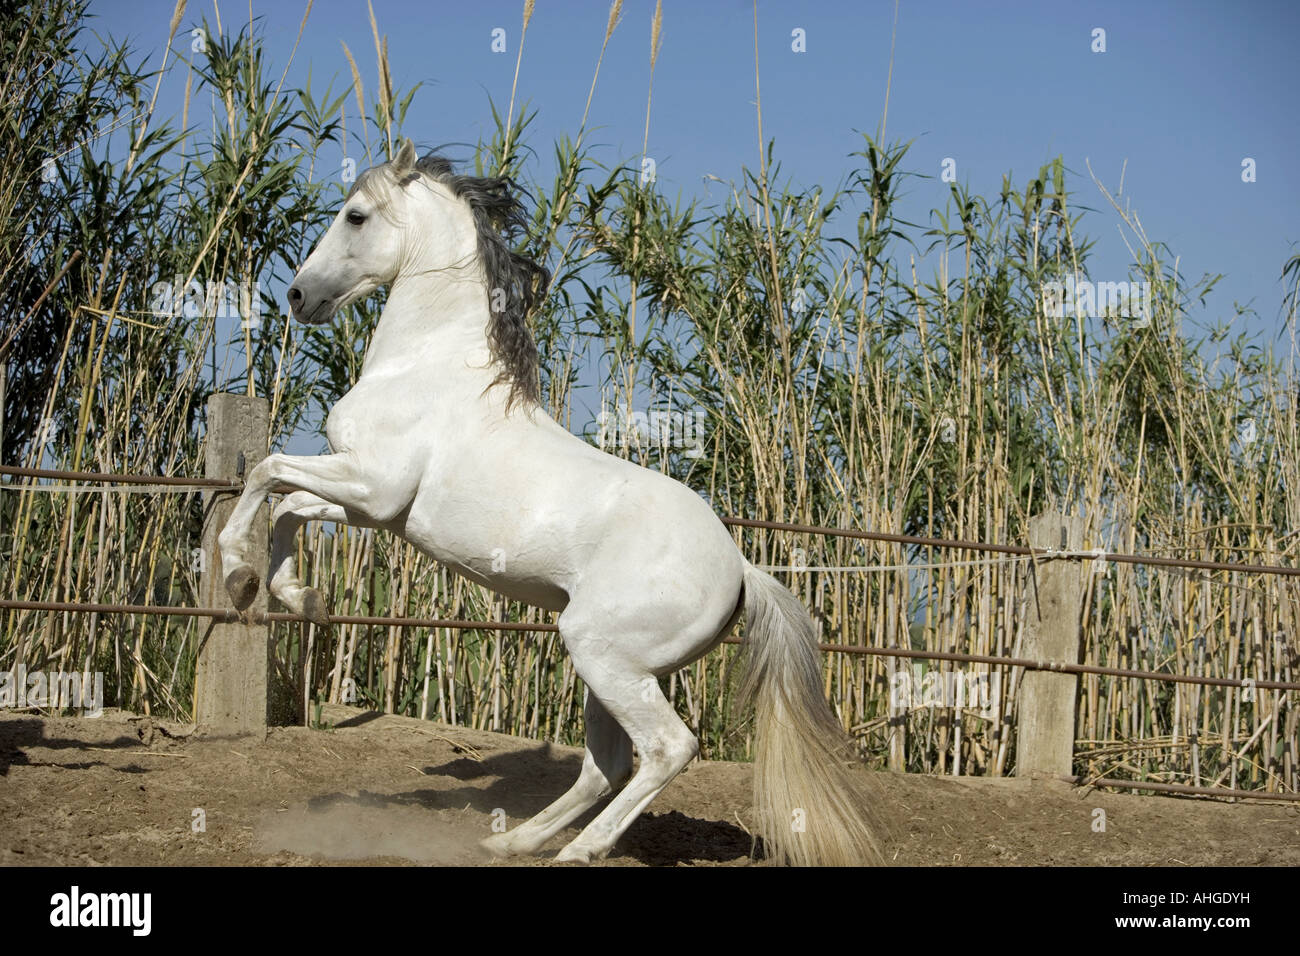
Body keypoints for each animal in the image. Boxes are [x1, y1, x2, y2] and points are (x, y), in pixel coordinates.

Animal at [215, 141, 883, 868]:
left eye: (355, 215)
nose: (298, 295)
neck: (425, 365)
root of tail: (740, 570)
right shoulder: (371, 506)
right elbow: (286, 507)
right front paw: (293, 595)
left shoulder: (371, 482)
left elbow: (267, 472)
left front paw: (236, 574)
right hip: (612, 670)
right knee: (605, 765)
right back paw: (514, 840)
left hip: (604, 655)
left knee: (666, 750)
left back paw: (578, 851)